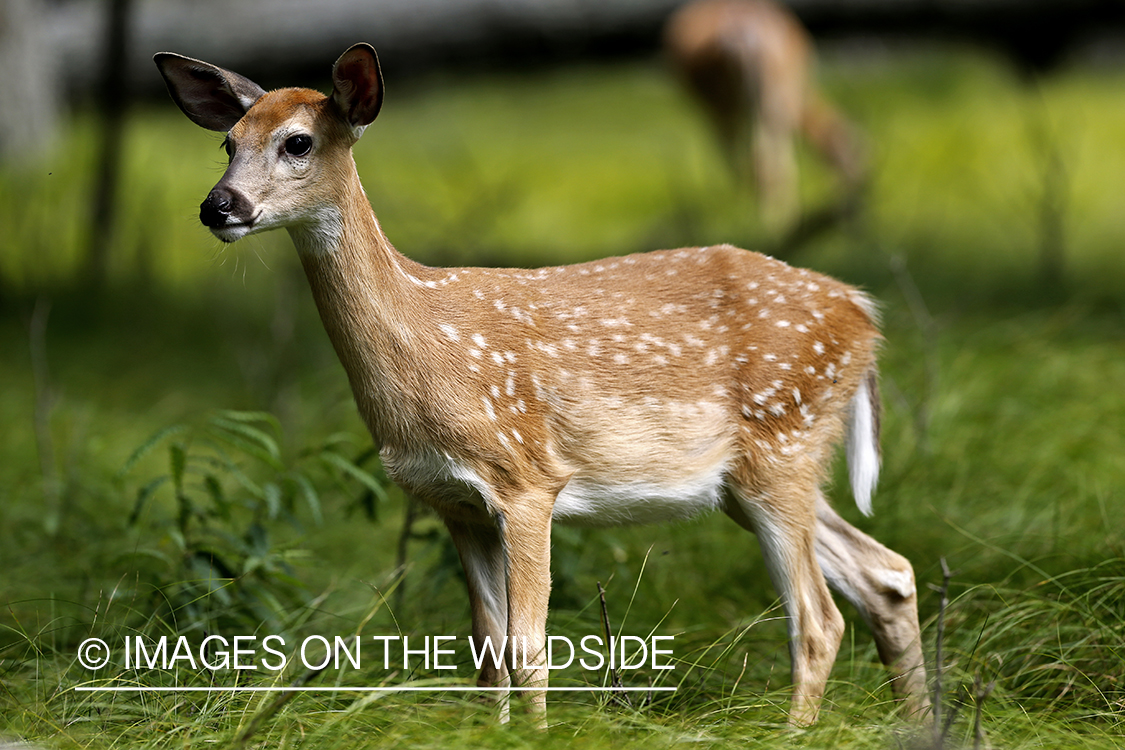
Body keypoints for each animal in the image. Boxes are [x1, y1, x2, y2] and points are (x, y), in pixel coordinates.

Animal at [154, 42, 928, 727]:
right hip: (749, 478)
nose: (218, 206)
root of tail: (865, 315)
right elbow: (486, 651)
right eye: (227, 142)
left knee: (819, 620)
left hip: (783, 442)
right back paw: (920, 723)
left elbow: (529, 650)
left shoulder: (526, 478)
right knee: (886, 574)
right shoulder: (454, 502)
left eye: (298, 142)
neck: (426, 345)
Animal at [665, 0, 867, 232]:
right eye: (856, 154)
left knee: (764, 157)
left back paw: (770, 217)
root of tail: (745, 39)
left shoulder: (722, 110)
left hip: (756, 102)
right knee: (771, 159)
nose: (859, 188)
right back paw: (777, 218)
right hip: (768, 100)